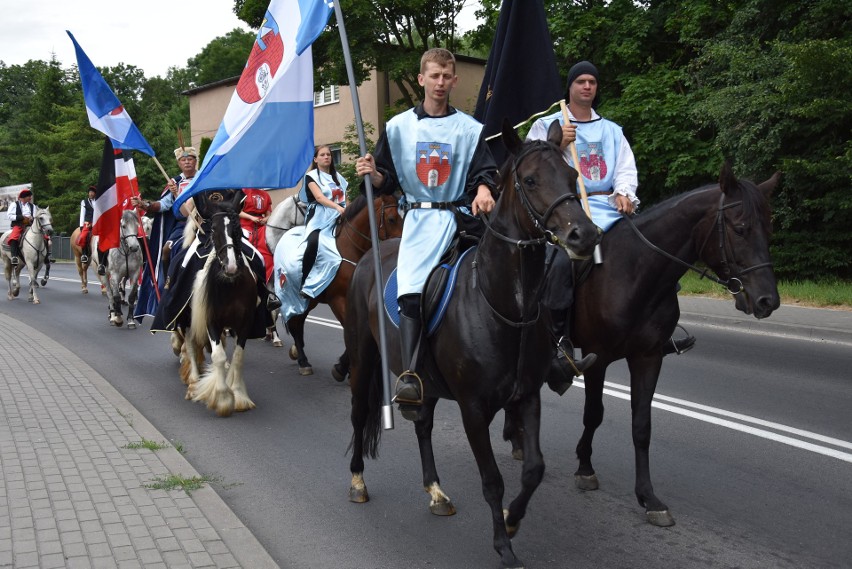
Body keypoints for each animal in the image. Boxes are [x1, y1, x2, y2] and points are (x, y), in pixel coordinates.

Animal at [342, 121, 600, 568]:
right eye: (531, 180)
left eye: (572, 176)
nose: (583, 235)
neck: (500, 304)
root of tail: (368, 259)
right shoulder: (474, 410)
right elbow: (492, 479)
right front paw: (504, 546)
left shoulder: (526, 397)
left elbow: (534, 469)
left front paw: (512, 520)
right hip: (363, 357)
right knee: (360, 414)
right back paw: (358, 482)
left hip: (423, 381)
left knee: (422, 425)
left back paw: (436, 492)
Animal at [510, 160, 784, 524]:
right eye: (740, 229)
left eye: (768, 230)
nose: (768, 301)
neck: (635, 272)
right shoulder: (598, 357)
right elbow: (593, 413)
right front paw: (585, 469)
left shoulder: (649, 357)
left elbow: (642, 426)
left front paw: (649, 498)